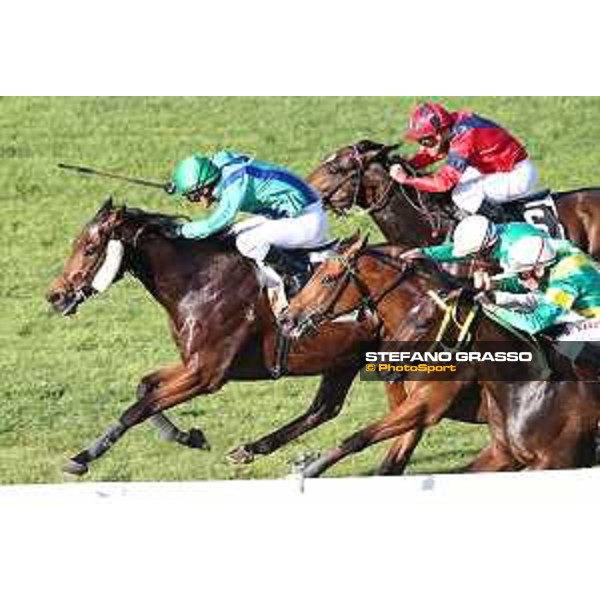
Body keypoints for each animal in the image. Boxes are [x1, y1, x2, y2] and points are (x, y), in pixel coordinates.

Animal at [45, 199, 422, 476]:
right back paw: (252, 449)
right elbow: (145, 387)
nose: (55, 295)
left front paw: (81, 457)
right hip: (343, 359)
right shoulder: (192, 364)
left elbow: (137, 409)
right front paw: (187, 436)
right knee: (323, 409)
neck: (199, 282)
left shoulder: (206, 375)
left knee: (407, 420)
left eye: (90, 248)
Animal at [282, 237, 600, 476]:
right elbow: (387, 461)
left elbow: (361, 439)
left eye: (327, 278)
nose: (287, 317)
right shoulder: (411, 407)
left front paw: (306, 469)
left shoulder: (428, 403)